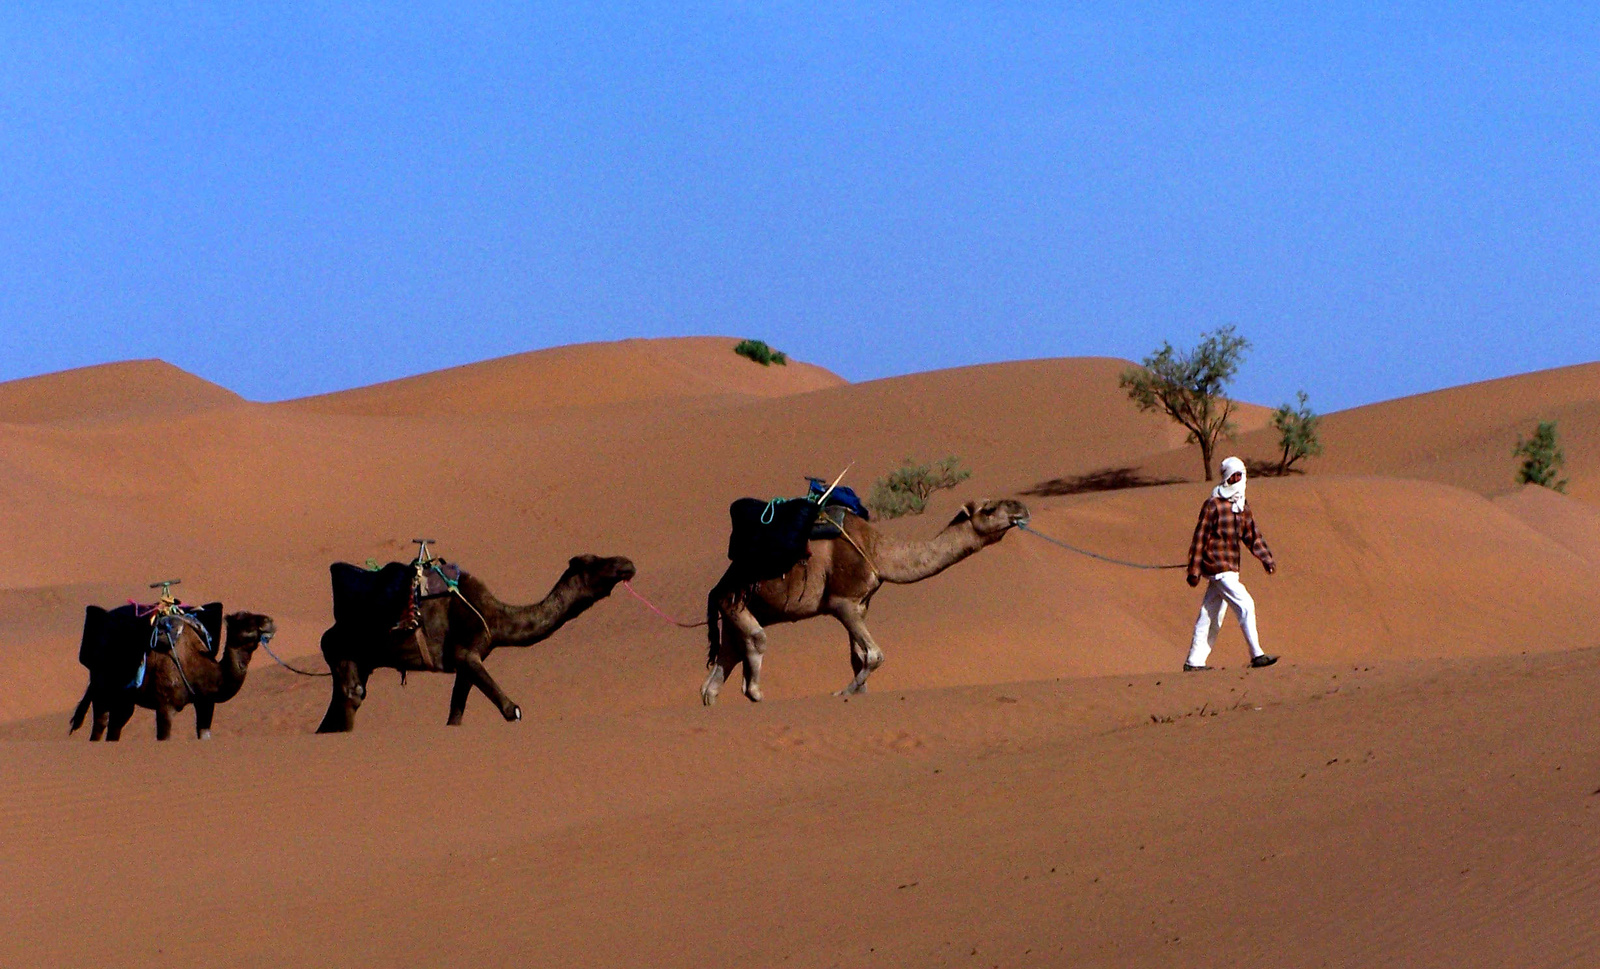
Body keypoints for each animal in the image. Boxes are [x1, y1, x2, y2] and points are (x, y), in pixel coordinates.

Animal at [69, 614, 278, 745]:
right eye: (245, 621)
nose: (270, 621)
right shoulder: (165, 706)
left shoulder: (205, 703)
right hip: (102, 691)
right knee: (100, 724)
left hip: (124, 700)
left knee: (116, 725)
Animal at [315, 553, 633, 735]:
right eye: (596, 562)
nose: (627, 564)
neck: (494, 618)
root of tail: (328, 630)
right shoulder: (466, 652)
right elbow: (511, 710)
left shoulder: (466, 663)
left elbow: (455, 715)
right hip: (343, 647)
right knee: (352, 696)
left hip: (360, 658)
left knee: (343, 703)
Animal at [704, 502, 1030, 706]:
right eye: (989, 508)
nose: (1022, 508)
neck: (877, 552)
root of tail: (718, 586)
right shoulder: (842, 602)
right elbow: (875, 655)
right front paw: (841, 692)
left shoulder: (862, 604)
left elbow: (858, 657)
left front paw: (859, 693)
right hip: (734, 600)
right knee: (756, 639)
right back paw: (754, 692)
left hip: (741, 608)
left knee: (722, 665)